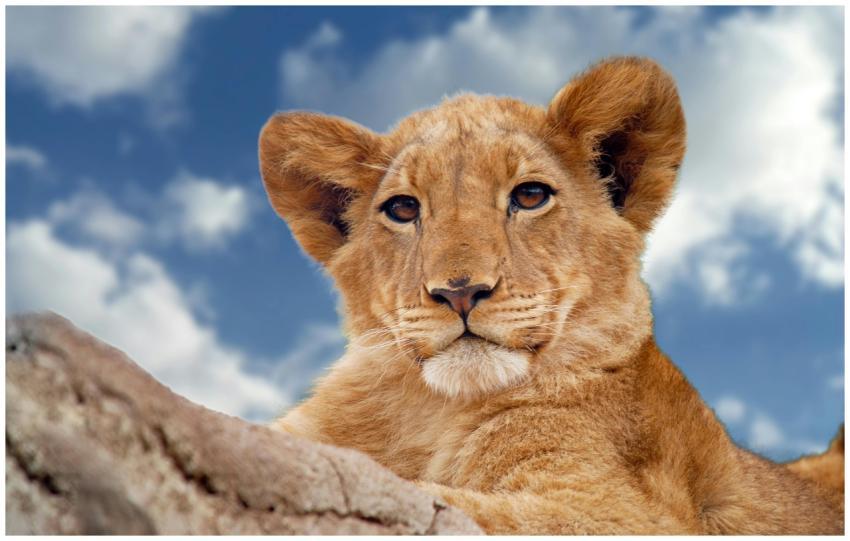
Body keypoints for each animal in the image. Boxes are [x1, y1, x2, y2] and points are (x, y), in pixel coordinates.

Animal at [258, 57, 843, 534]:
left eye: (530, 196)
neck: (431, 412)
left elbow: (437, 502)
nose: (460, 292)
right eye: (403, 209)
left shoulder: (621, 511)